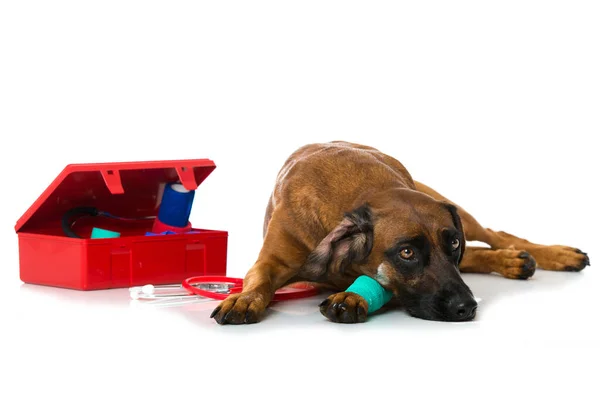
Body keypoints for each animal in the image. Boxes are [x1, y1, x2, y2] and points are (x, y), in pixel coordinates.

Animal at [211, 142, 592, 324]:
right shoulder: (271, 261)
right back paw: (514, 262)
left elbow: (381, 283)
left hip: (457, 209)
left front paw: (353, 296)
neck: (363, 190)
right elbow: (258, 281)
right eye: (406, 253)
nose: (467, 308)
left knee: (496, 234)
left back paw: (550, 255)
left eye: (452, 242)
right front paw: (244, 298)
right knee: (478, 255)